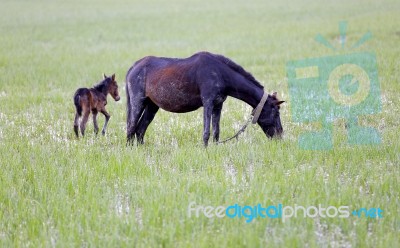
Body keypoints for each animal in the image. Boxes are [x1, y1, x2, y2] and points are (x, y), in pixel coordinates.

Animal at [125, 51, 284, 145]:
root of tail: (133, 67)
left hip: (152, 106)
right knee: (131, 127)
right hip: (138, 102)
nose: (280, 136)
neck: (221, 74)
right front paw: (205, 150)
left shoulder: (218, 105)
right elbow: (206, 131)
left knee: (140, 130)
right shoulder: (208, 103)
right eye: (276, 113)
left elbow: (216, 131)